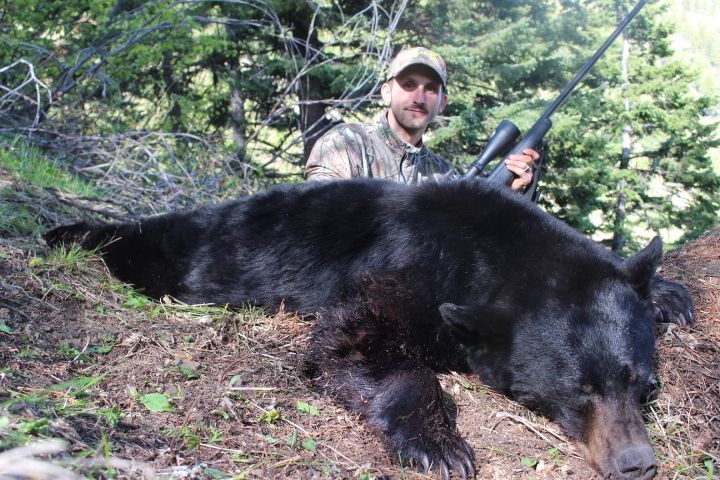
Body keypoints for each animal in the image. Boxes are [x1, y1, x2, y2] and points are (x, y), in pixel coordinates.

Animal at [44, 179, 693, 480]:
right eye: (579, 390)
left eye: (646, 386)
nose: (637, 462)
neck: (485, 254)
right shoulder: (404, 266)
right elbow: (352, 343)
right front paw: (439, 446)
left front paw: (668, 292)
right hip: (180, 249)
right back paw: (66, 232)